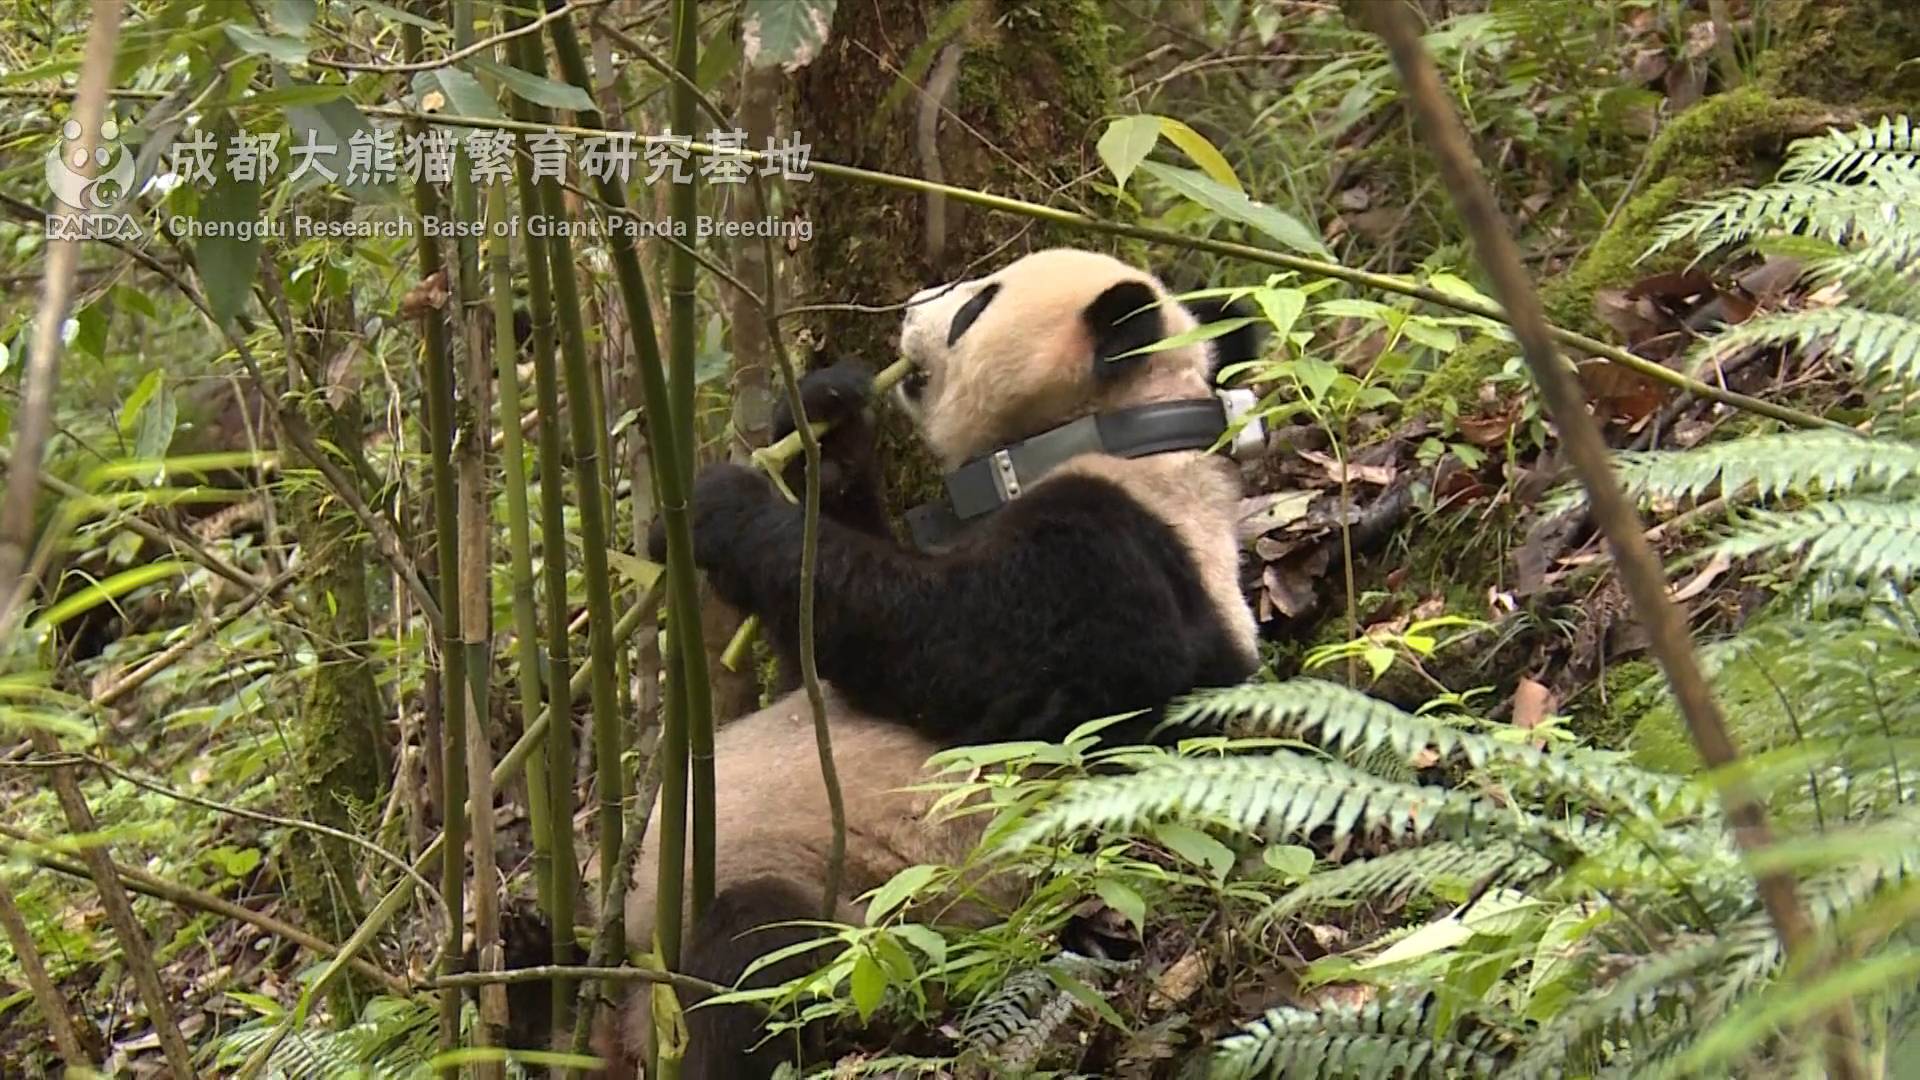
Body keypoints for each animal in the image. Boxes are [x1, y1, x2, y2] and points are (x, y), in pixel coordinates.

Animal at [622, 247, 1267, 1068]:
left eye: (975, 305)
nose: (910, 305)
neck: (1120, 432)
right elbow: (813, 665)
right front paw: (829, 416)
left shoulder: (1118, 554)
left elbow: (961, 650)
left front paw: (720, 505)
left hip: (872, 931)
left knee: (761, 951)